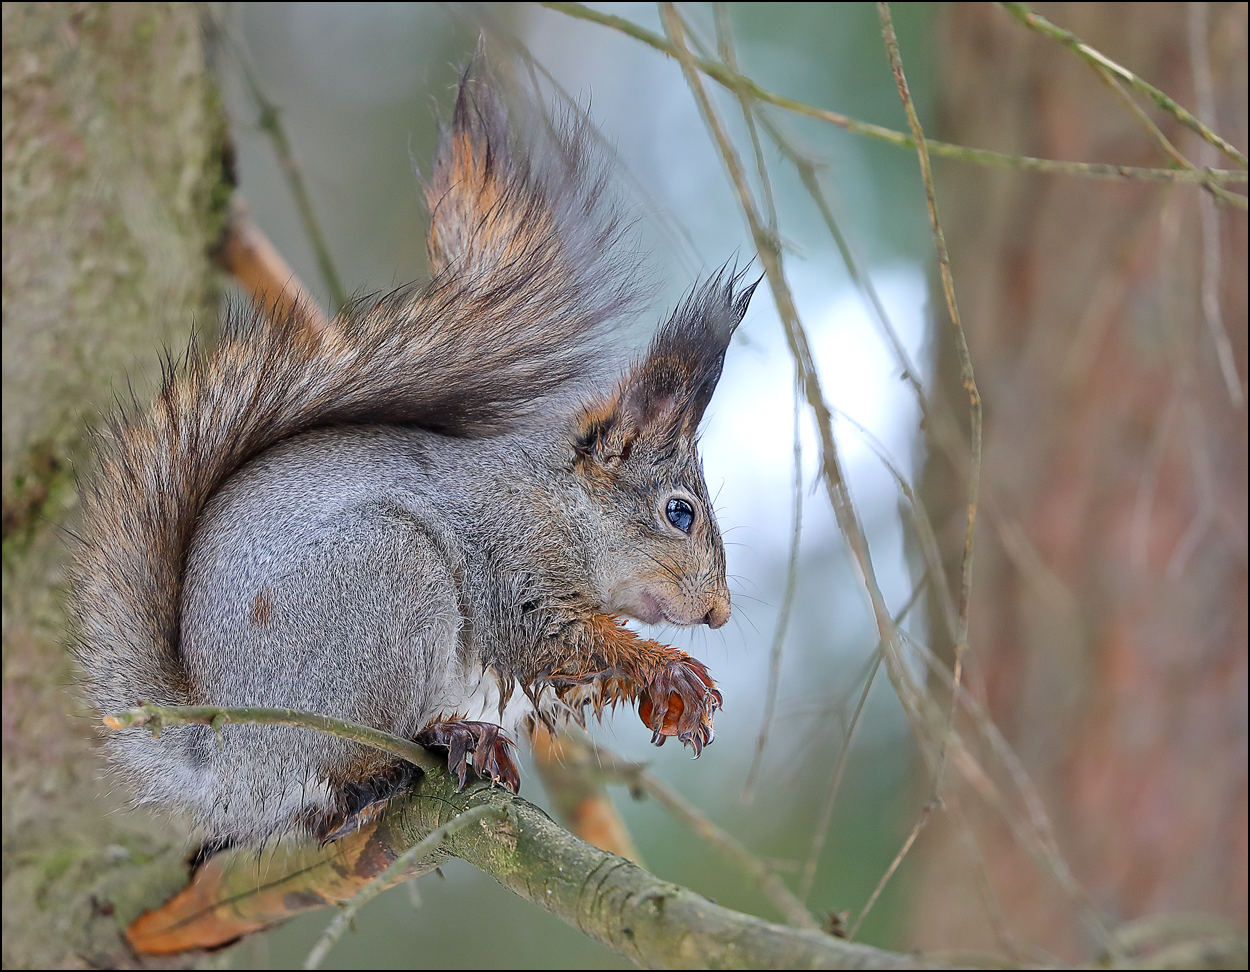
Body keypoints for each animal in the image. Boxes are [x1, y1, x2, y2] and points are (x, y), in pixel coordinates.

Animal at [71, 70, 756, 849]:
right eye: (679, 513)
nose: (718, 612)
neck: (561, 504)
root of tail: (230, 761)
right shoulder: (512, 556)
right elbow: (550, 637)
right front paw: (671, 672)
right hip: (388, 584)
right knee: (344, 766)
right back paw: (431, 742)